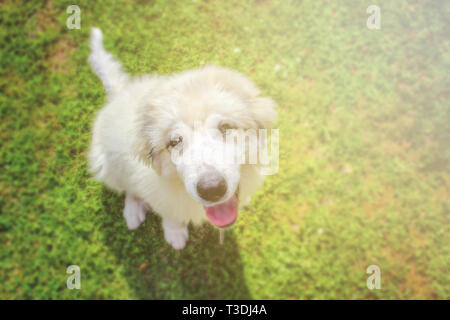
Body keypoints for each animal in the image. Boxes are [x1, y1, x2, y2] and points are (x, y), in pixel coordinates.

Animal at [88, 27, 276, 249]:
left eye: (225, 127)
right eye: (174, 142)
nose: (211, 189)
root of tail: (120, 94)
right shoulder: (159, 193)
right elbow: (170, 214)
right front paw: (175, 234)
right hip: (109, 167)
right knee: (129, 189)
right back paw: (132, 212)